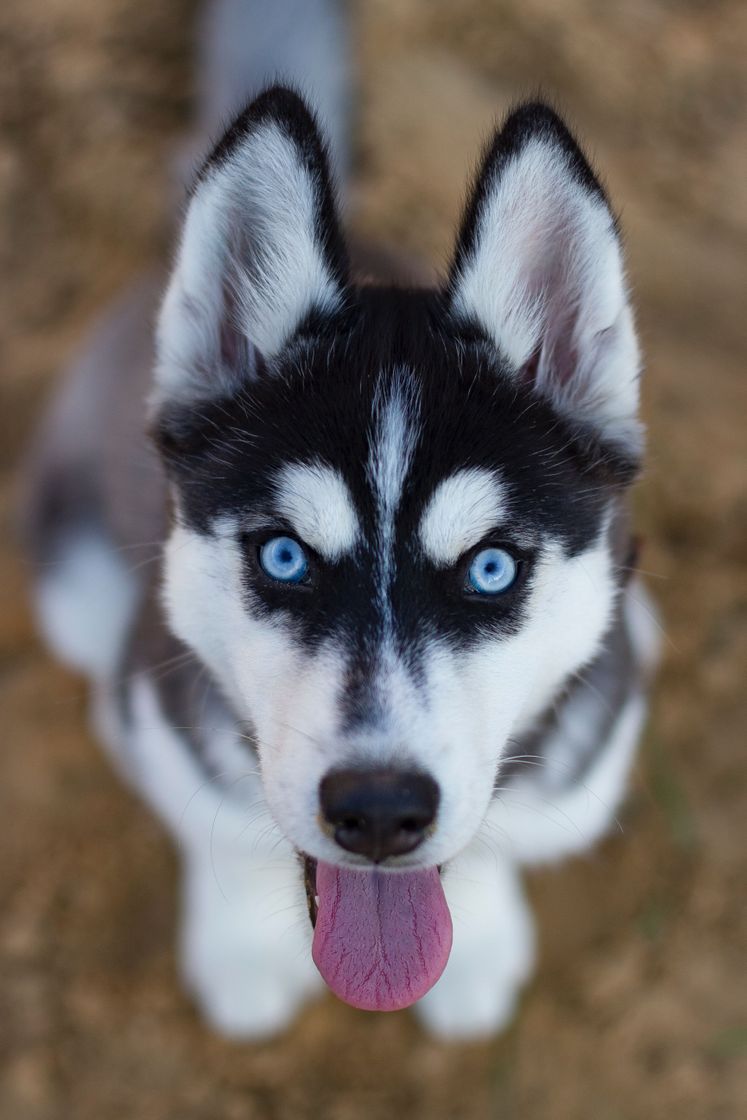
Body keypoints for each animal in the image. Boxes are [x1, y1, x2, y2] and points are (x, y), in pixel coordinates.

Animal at [21, 0, 654, 1039]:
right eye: (283, 555)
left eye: (490, 568)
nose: (380, 810)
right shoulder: (175, 717)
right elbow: (219, 827)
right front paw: (238, 947)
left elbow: (491, 841)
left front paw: (480, 936)